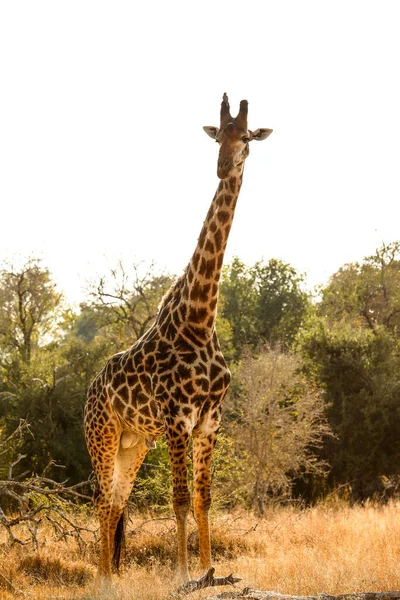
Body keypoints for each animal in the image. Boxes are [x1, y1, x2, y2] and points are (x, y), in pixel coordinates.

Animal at [84, 95, 272, 584]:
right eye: (217, 136)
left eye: (246, 137)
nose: (223, 167)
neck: (200, 318)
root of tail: (90, 389)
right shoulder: (176, 418)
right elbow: (180, 498)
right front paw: (183, 575)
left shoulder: (209, 420)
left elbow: (205, 497)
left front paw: (209, 570)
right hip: (103, 434)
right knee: (100, 499)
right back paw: (102, 578)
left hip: (133, 443)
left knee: (117, 501)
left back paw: (112, 578)